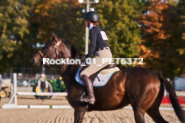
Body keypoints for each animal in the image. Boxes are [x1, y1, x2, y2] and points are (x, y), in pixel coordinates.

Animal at [31, 33, 184, 123]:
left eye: (47, 46)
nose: (34, 60)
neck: (72, 71)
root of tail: (156, 74)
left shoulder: (80, 109)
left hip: (139, 109)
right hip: (152, 109)